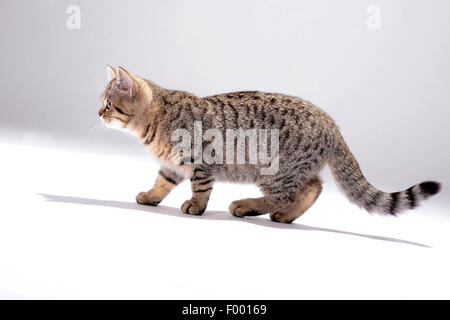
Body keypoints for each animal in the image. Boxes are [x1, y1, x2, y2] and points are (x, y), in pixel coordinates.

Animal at [98, 65, 440, 222]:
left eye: (109, 104)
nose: (98, 112)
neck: (156, 122)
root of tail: (331, 123)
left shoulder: (201, 162)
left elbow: (200, 189)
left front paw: (195, 207)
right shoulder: (171, 166)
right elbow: (161, 183)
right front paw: (150, 197)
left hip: (274, 171)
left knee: (287, 194)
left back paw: (246, 205)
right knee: (313, 188)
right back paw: (286, 216)